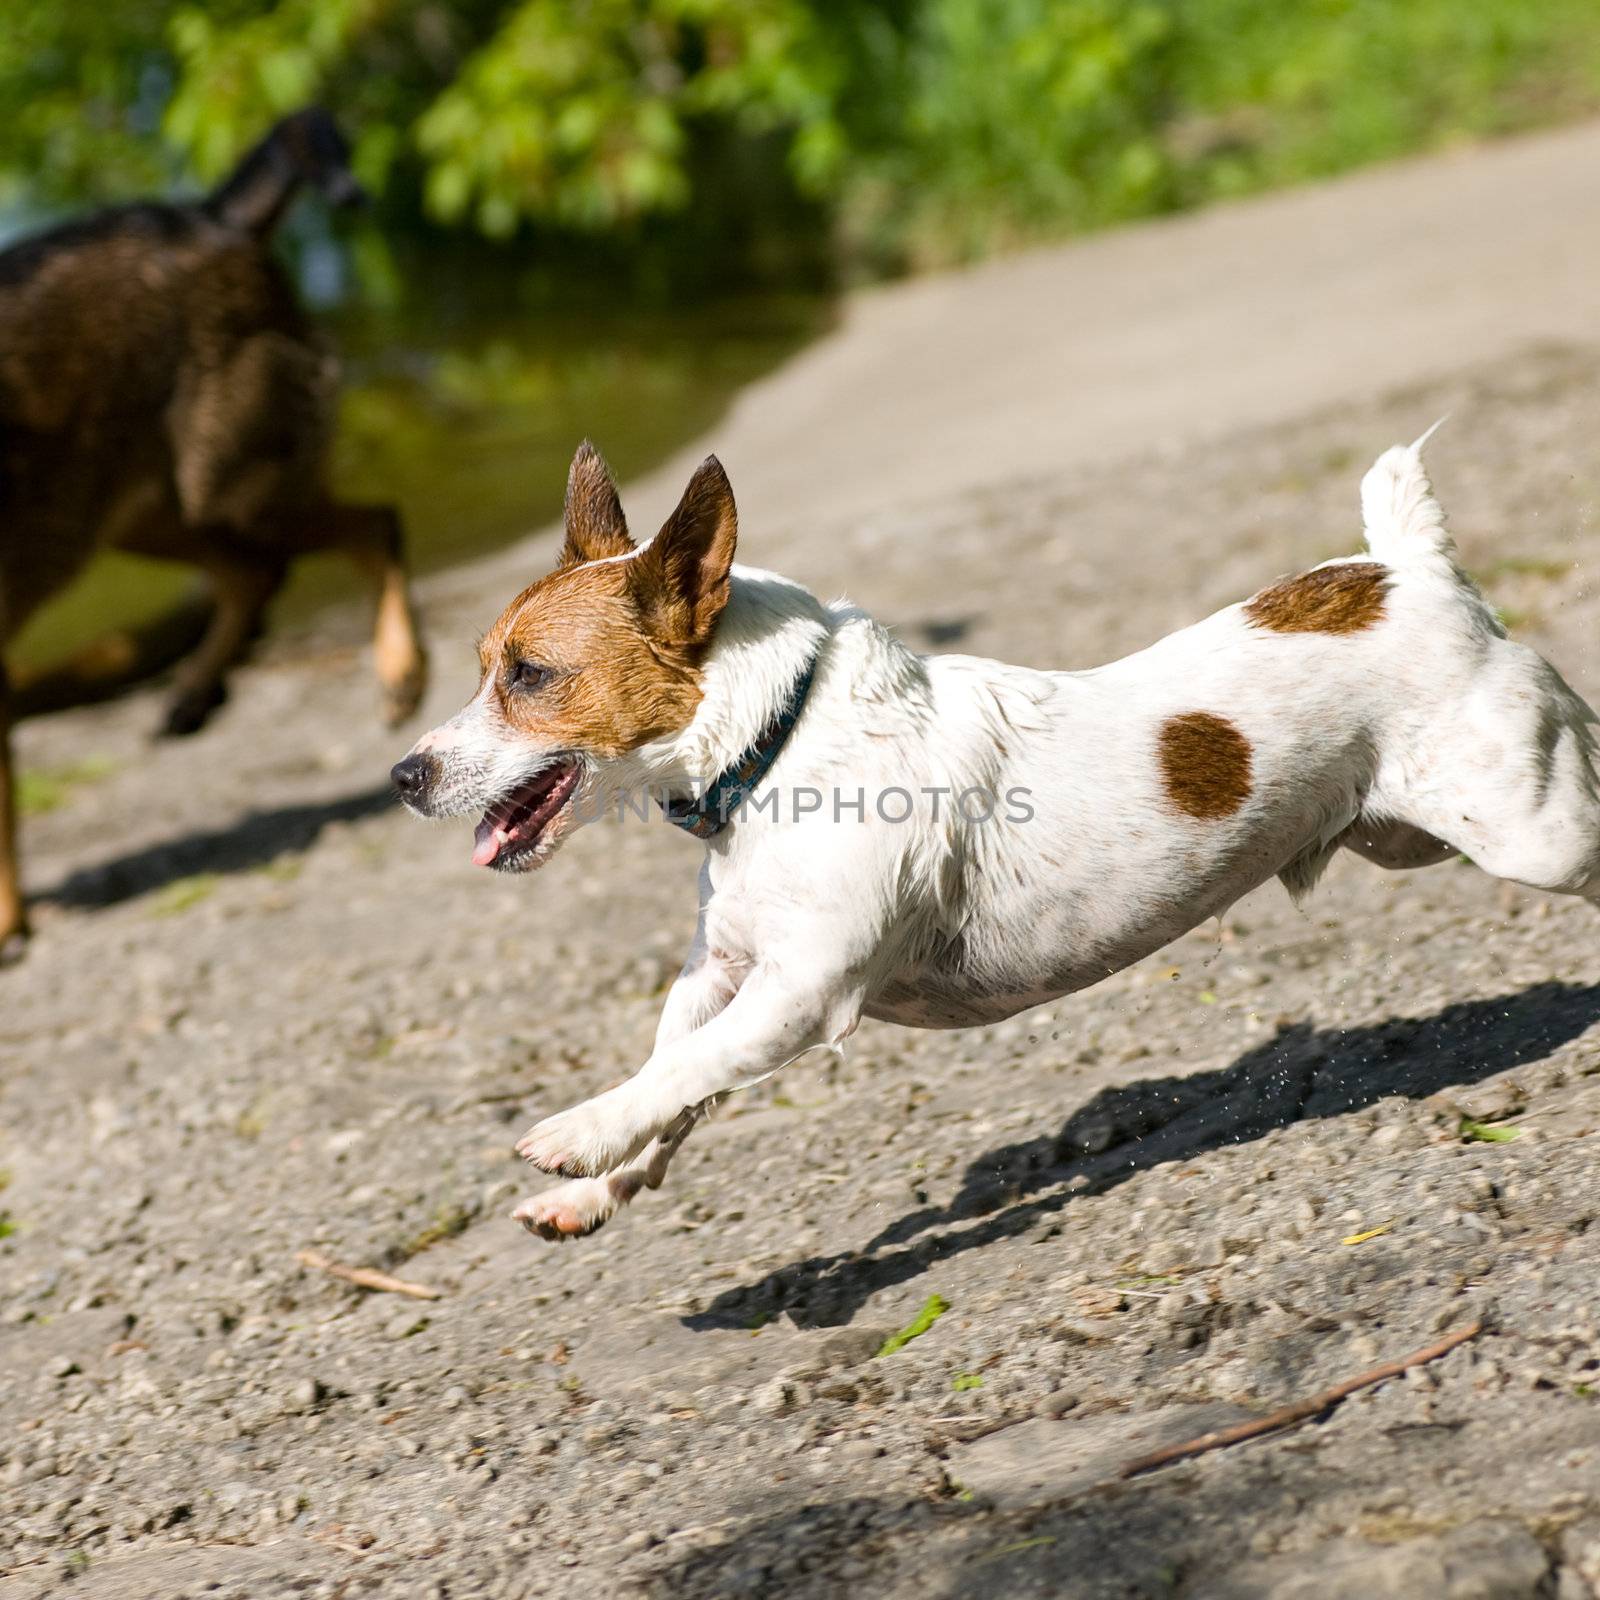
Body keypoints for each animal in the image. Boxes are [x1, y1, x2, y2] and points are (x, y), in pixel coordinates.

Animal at [0, 116, 432, 960]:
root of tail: (217, 217)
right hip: (147, 514)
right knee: (254, 575)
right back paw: (196, 692)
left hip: (230, 487)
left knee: (369, 525)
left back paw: (399, 669)